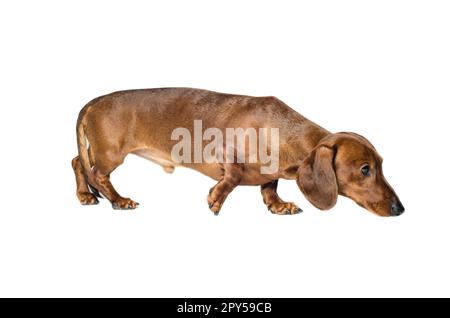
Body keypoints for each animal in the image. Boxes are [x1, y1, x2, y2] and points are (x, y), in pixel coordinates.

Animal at [71, 87, 404, 216]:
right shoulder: (225, 156)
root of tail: (94, 101)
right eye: (364, 169)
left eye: (381, 164)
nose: (399, 209)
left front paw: (279, 205)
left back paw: (86, 196)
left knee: (78, 162)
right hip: (111, 153)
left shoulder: (273, 172)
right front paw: (216, 198)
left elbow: (270, 187)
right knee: (96, 173)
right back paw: (118, 200)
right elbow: (231, 177)